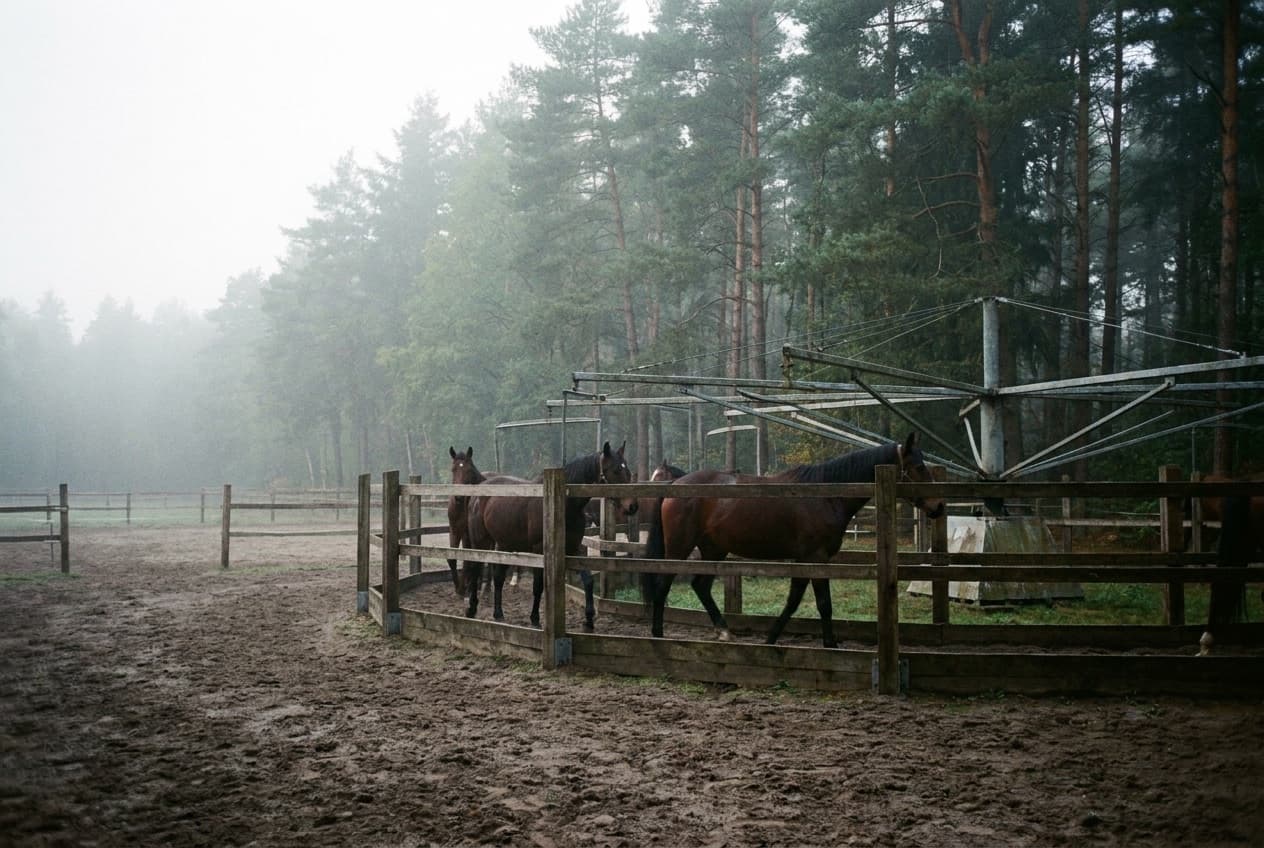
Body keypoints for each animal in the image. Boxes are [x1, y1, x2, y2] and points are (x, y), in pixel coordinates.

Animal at [445, 446, 487, 596]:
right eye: (453, 469)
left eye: (469, 470)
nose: (458, 497)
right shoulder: (454, 531)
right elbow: (452, 559)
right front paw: (458, 587)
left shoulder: (468, 534)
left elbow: (467, 560)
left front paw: (463, 587)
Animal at [464, 441, 638, 631]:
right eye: (615, 470)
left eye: (628, 470)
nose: (632, 506)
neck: (564, 506)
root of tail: (479, 490)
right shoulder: (540, 551)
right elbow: (538, 586)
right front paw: (535, 619)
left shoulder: (574, 549)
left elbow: (588, 581)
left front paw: (589, 620)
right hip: (481, 541)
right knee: (475, 569)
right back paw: (472, 609)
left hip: (504, 544)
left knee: (498, 577)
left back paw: (498, 614)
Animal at [641, 433, 946, 648]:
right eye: (918, 467)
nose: (938, 506)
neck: (826, 495)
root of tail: (675, 486)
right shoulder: (816, 558)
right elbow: (823, 604)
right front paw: (831, 645)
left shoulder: (805, 559)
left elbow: (793, 600)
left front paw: (771, 639)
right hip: (680, 547)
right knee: (663, 585)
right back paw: (657, 634)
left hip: (714, 549)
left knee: (700, 586)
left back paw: (724, 631)